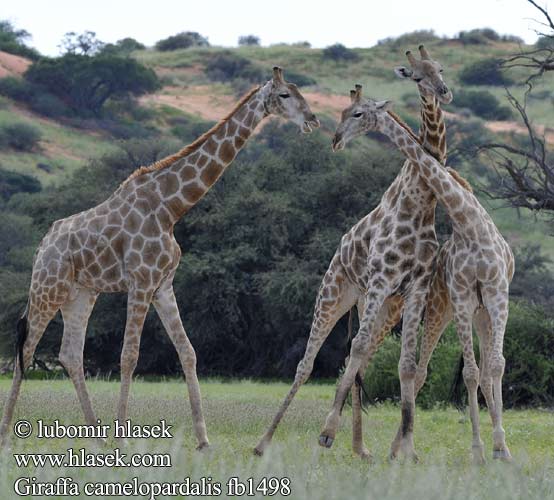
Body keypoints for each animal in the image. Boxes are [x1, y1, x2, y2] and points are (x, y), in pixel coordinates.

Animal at [0, 67, 316, 450]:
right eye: (285, 95)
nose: (312, 119)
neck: (171, 208)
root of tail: (43, 244)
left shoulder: (163, 284)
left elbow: (188, 351)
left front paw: (203, 440)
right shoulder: (141, 281)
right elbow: (129, 356)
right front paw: (122, 438)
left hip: (81, 294)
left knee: (70, 354)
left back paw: (95, 436)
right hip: (47, 288)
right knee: (27, 350)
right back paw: (7, 434)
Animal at [252, 47, 450, 460]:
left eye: (440, 68)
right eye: (416, 76)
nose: (335, 139)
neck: (422, 203)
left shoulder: (415, 288)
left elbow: (406, 365)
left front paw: (407, 450)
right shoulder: (382, 280)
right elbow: (353, 354)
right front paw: (327, 432)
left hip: (377, 306)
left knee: (358, 360)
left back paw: (360, 448)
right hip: (335, 296)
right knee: (310, 362)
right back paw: (265, 443)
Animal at [328, 87, 512, 464]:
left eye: (356, 113)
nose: (336, 140)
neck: (470, 224)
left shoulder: (498, 294)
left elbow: (496, 366)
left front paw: (500, 448)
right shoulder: (462, 297)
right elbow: (471, 372)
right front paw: (479, 450)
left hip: (483, 312)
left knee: (487, 368)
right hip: (447, 310)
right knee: (433, 369)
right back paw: (396, 448)